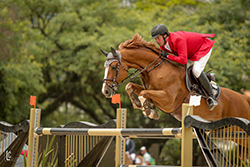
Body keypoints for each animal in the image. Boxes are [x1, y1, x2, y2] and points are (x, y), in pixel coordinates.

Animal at [101, 33, 250, 121]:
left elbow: (143, 93)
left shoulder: (168, 99)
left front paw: (148, 110)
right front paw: (141, 105)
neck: (156, 69)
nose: (106, 91)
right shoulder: (151, 90)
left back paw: (212, 99)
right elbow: (130, 86)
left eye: (113, 67)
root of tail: (244, 98)